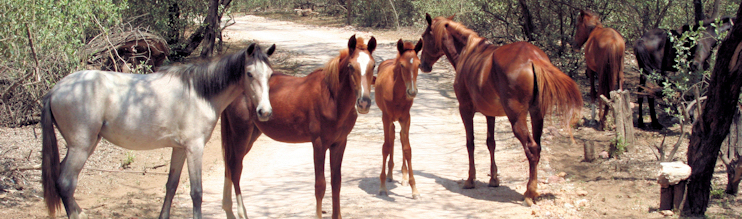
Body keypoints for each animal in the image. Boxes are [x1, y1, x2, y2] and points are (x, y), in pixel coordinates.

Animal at [39, 43, 276, 219]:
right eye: (249, 73)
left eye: (270, 75)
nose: (264, 112)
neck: (200, 94)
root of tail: (55, 90)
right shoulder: (194, 148)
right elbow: (196, 192)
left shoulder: (180, 149)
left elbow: (171, 185)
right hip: (81, 146)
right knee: (66, 183)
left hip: (84, 145)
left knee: (61, 179)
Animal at [218, 35, 374, 218]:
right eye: (350, 66)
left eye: (373, 65)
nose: (364, 103)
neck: (331, 98)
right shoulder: (319, 144)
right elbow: (320, 185)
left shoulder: (339, 143)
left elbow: (336, 183)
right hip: (241, 133)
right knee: (235, 168)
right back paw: (241, 213)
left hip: (250, 135)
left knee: (229, 166)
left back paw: (228, 209)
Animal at [378, 38, 424, 199]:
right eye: (402, 65)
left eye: (419, 64)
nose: (412, 91)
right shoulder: (385, 117)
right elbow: (386, 147)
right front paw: (383, 187)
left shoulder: (406, 118)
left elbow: (407, 148)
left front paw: (414, 189)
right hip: (389, 119)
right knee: (391, 137)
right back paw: (390, 174)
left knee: (398, 137)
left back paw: (402, 176)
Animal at [422, 14, 584, 207]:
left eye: (424, 37)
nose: (423, 65)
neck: (468, 53)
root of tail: (533, 58)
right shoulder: (489, 114)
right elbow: (491, 143)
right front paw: (493, 179)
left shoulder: (465, 110)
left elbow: (470, 143)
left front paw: (470, 180)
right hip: (537, 115)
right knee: (537, 148)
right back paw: (534, 190)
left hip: (517, 119)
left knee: (531, 148)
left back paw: (529, 193)